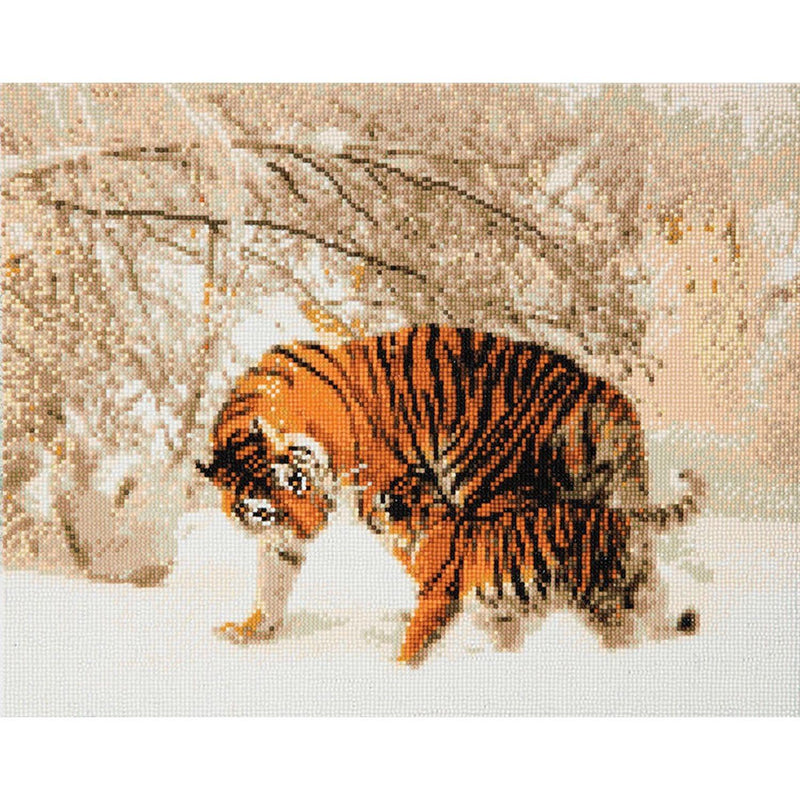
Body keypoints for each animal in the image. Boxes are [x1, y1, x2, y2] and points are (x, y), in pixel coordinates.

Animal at [196, 324, 705, 663]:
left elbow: (423, 552)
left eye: (296, 482)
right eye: (262, 512)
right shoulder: (281, 536)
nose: (309, 528)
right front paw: (254, 631)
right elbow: (272, 579)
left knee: (517, 574)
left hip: (501, 495)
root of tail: (610, 400)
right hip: (603, 510)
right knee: (640, 579)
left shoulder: (384, 487)